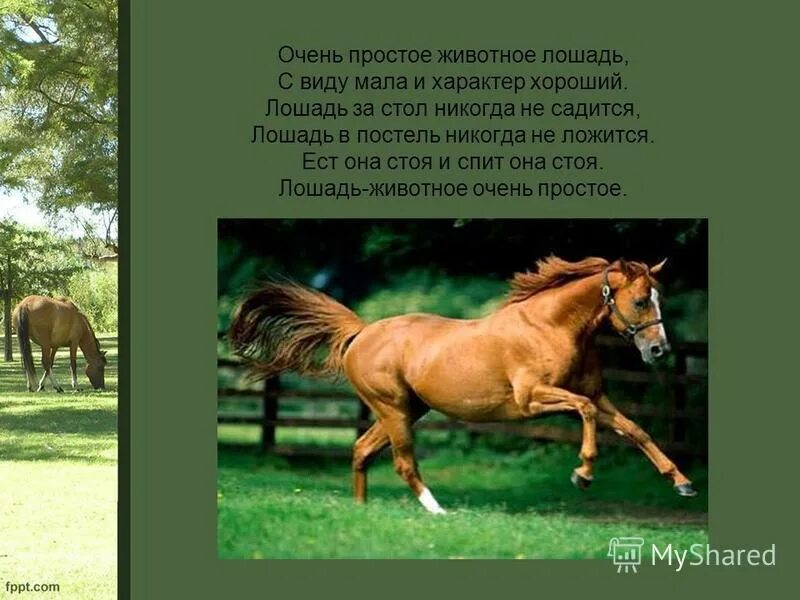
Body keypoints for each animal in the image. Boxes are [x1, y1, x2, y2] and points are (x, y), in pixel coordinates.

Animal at [229, 256, 698, 515]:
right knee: (403, 463)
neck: (551, 327)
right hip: (394, 410)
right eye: (641, 300)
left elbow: (636, 430)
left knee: (361, 450)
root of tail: (361, 332)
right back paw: (438, 512)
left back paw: (361, 512)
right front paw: (582, 474)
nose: (658, 350)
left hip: (407, 410)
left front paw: (682, 483)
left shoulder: (600, 396)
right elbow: (582, 412)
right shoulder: (533, 400)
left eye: (658, 298)